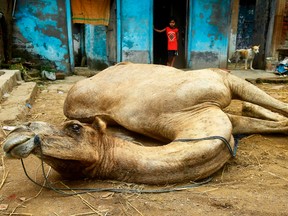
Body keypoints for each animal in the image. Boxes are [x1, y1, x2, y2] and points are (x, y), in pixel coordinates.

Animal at [2, 62, 288, 184]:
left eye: (74, 128)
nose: (18, 134)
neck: (189, 116)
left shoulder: (222, 82)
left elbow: (280, 112)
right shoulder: (216, 113)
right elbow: (278, 121)